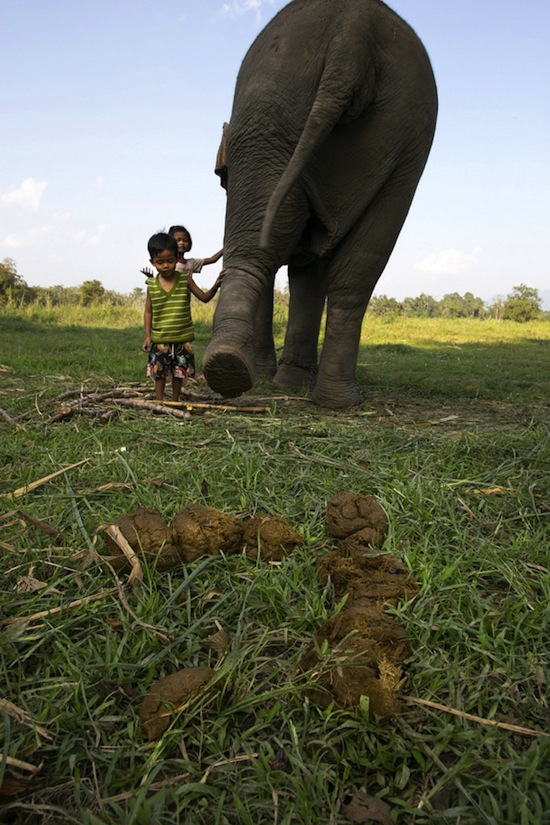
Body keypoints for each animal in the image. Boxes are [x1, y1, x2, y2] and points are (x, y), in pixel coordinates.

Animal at [204, 0, 440, 408]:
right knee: (358, 270)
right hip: (404, 137)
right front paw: (288, 381)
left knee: (257, 251)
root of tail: (356, 30)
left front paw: (275, 378)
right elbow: (308, 267)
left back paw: (230, 368)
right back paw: (336, 400)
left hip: (267, 120)